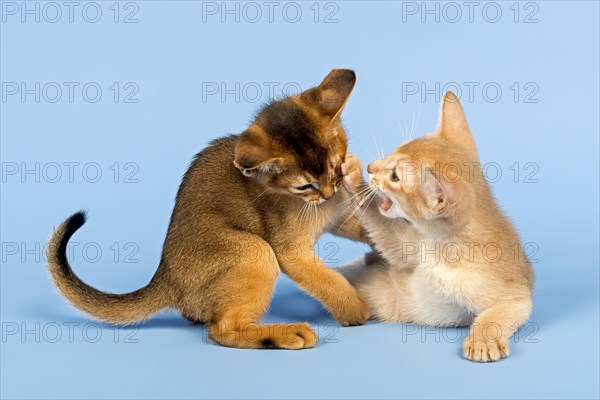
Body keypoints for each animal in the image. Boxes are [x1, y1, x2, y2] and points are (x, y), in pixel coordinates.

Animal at [48, 69, 370, 350]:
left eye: (335, 168)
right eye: (304, 187)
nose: (328, 193)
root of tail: (166, 279)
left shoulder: (340, 217)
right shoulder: (290, 251)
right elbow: (327, 281)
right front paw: (355, 309)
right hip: (254, 250)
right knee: (221, 329)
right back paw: (287, 333)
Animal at [340, 91, 532, 362]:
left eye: (395, 177)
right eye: (394, 150)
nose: (370, 168)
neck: (446, 250)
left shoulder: (517, 297)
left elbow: (495, 315)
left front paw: (482, 342)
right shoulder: (414, 248)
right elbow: (382, 226)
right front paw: (353, 176)